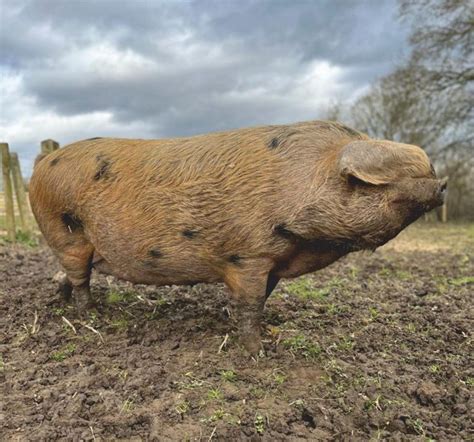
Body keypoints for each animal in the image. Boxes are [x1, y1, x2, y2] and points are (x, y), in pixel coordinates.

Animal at [28, 121, 444, 356]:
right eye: (400, 176)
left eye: (428, 168)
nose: (442, 184)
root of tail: (40, 166)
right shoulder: (249, 255)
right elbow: (250, 305)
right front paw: (257, 354)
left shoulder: (275, 261)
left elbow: (264, 300)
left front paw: (272, 331)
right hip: (65, 230)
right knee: (80, 276)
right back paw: (91, 316)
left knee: (69, 274)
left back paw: (62, 301)